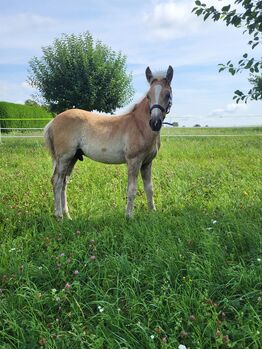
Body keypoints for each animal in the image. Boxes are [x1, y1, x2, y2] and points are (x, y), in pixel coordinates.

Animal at [44, 65, 173, 218]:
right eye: (148, 96)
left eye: (168, 94)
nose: (155, 123)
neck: (139, 125)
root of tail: (53, 121)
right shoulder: (134, 161)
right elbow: (132, 190)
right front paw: (129, 216)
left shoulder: (147, 162)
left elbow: (149, 188)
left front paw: (152, 212)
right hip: (64, 157)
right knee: (57, 181)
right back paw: (59, 215)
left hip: (73, 157)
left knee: (64, 182)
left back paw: (67, 216)